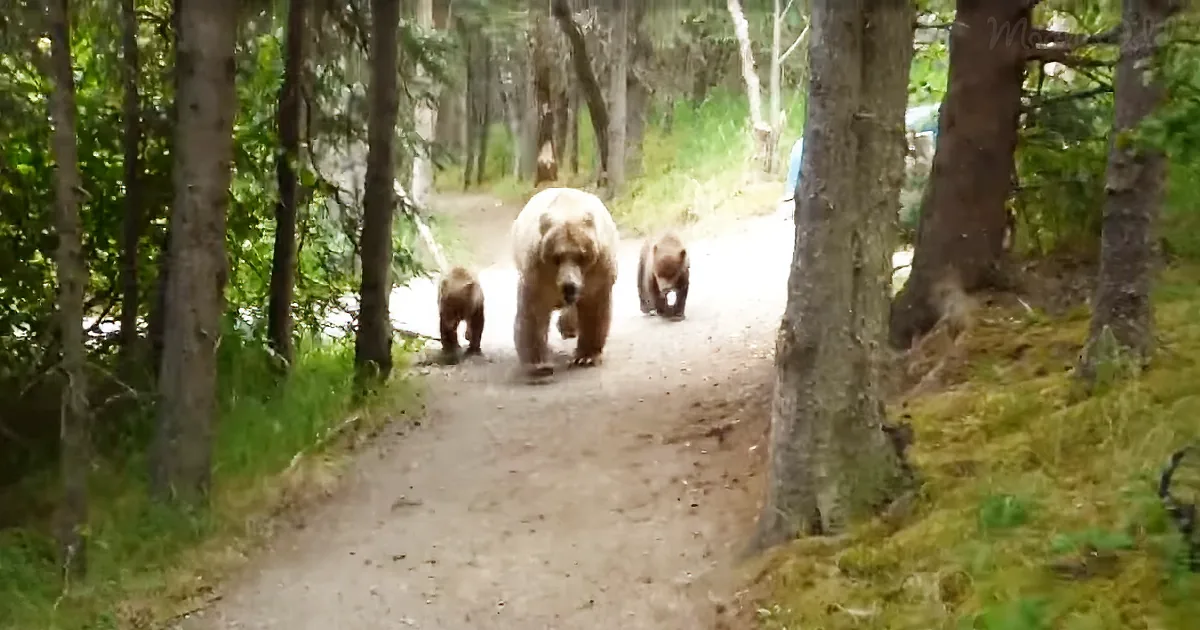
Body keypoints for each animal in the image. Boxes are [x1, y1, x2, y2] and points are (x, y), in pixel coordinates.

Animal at [510, 187, 619, 379]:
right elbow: (533, 313)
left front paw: (586, 357)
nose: (570, 285)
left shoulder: (598, 271)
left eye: (582, 255)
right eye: (556, 257)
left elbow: (594, 310)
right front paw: (540, 364)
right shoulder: (538, 274)